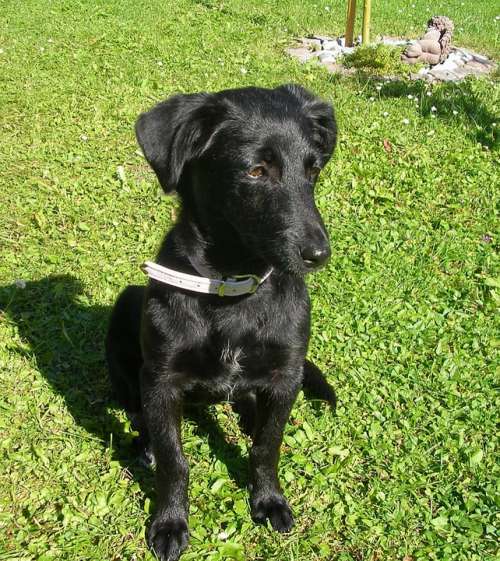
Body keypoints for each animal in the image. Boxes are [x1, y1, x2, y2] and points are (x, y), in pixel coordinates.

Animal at [107, 84, 338, 560]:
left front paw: (269, 499)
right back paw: (145, 442)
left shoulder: (286, 374)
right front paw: (170, 522)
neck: (233, 290)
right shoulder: (161, 381)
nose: (318, 255)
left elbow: (267, 447)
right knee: (135, 406)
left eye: (313, 170)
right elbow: (175, 461)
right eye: (256, 170)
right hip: (127, 305)